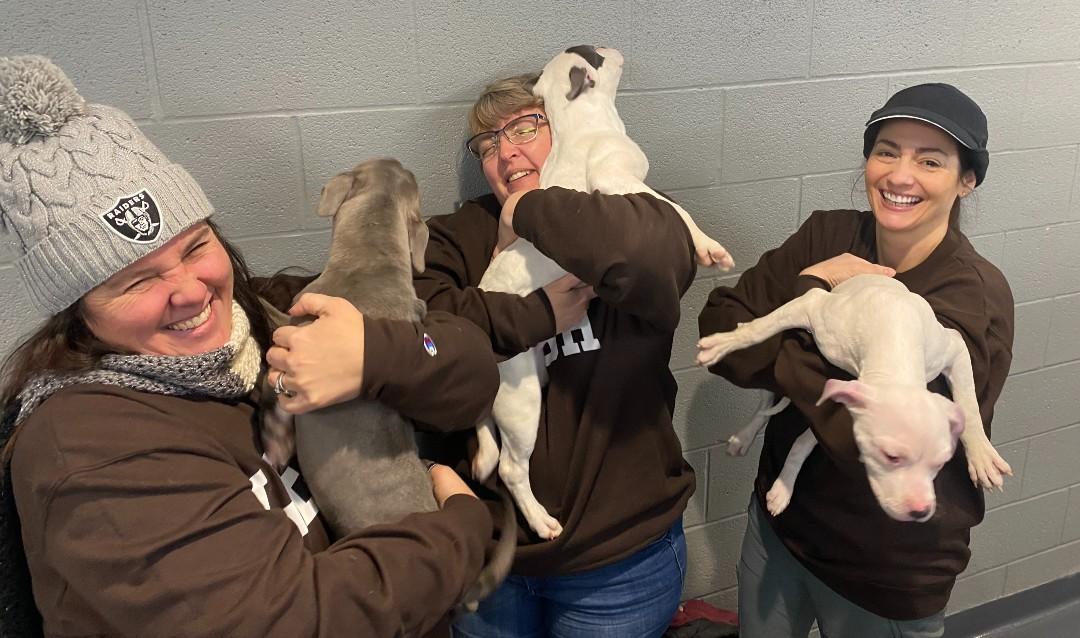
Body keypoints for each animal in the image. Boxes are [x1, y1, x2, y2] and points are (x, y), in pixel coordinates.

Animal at [699, 276, 1010, 524]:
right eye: (891, 456)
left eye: (940, 463)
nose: (921, 511)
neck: (895, 337)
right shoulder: (813, 304)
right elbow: (758, 329)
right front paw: (725, 342)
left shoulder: (952, 347)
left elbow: (969, 403)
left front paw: (981, 455)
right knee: (764, 405)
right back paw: (743, 435)